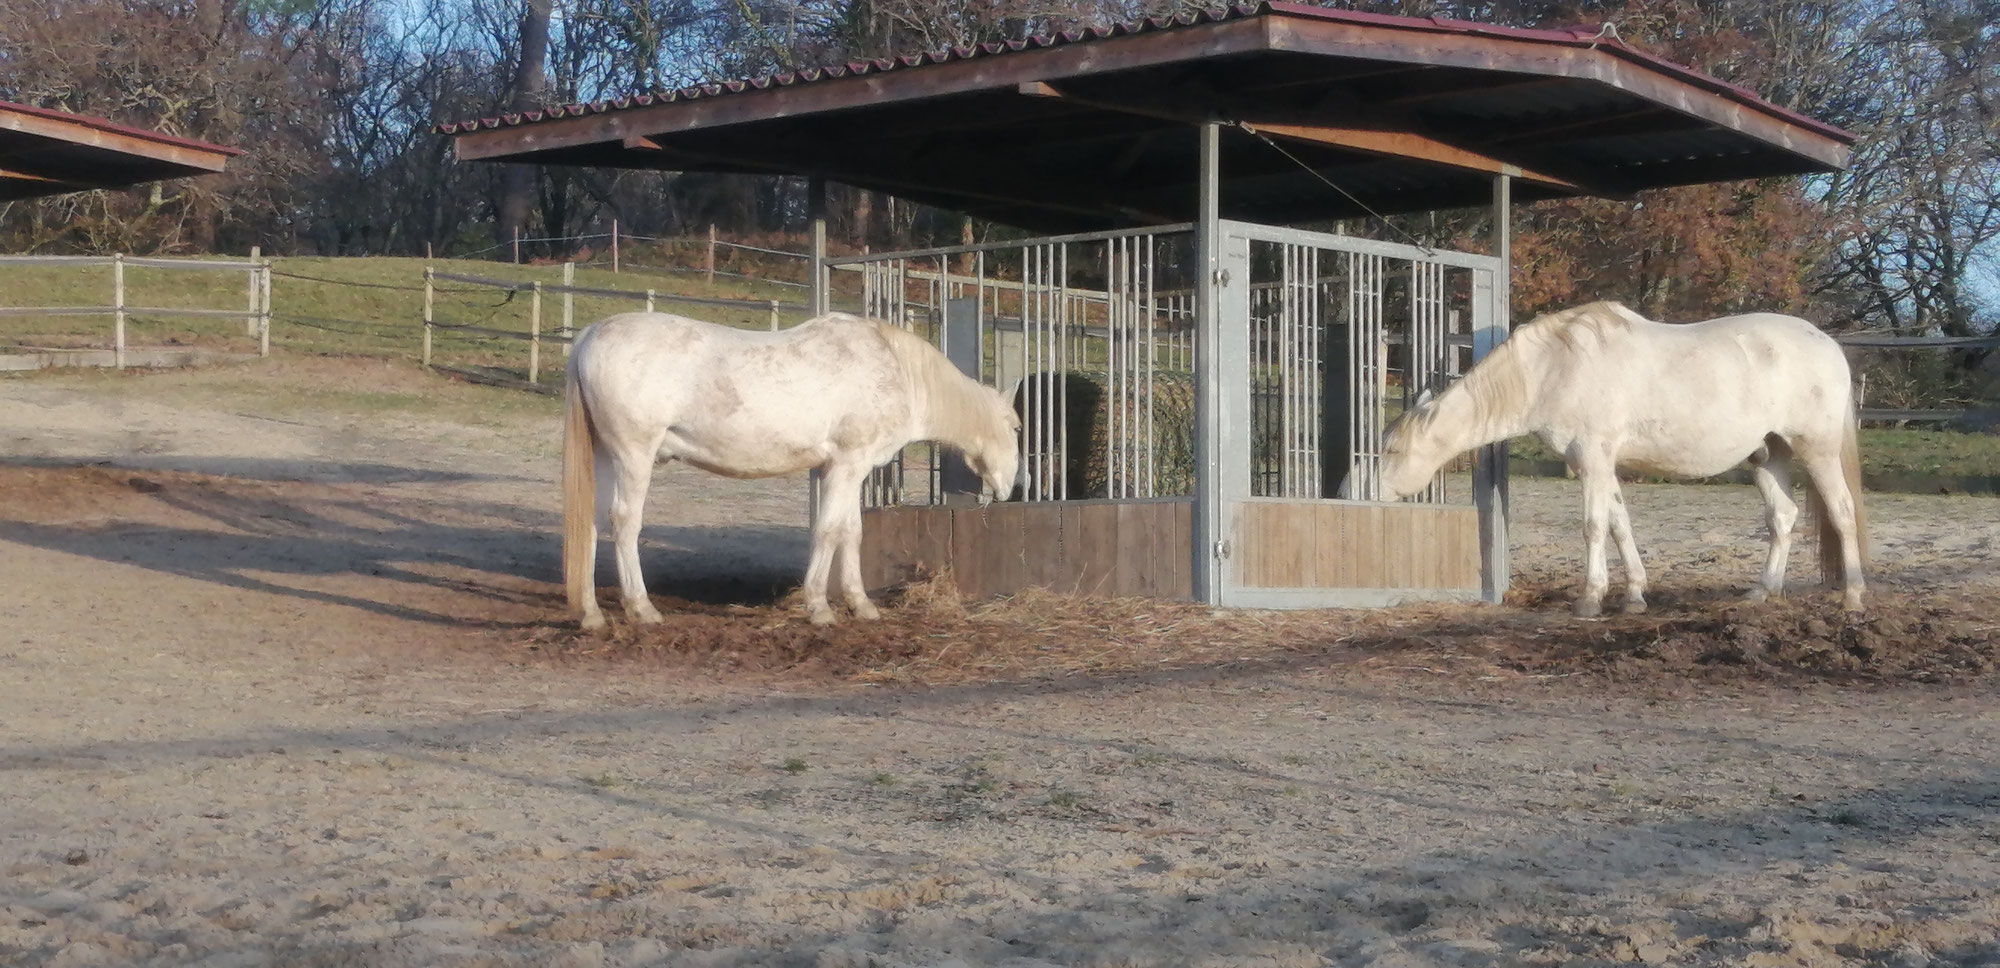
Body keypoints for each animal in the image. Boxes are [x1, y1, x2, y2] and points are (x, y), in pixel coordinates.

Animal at [568, 308, 1024, 628]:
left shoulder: (843, 469)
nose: (1010, 489)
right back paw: (641, 607)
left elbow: (851, 533)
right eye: (1018, 427)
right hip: (634, 455)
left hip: (605, 455)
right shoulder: (847, 465)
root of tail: (590, 335)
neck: (895, 370)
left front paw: (861, 605)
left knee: (589, 522)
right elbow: (829, 531)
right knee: (624, 522)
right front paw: (819, 606)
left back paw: (591, 613)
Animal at [1384, 302, 1864, 616]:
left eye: (1392, 450)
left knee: (1842, 512)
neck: (1553, 367)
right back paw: (1764, 592)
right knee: (1782, 517)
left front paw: (1590, 598)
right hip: (1767, 453)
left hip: (1817, 451)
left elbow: (1594, 526)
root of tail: (1827, 344)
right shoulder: (1598, 465)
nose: (1372, 492)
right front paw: (1634, 595)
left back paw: (1854, 597)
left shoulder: (1592, 459)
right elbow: (1620, 525)